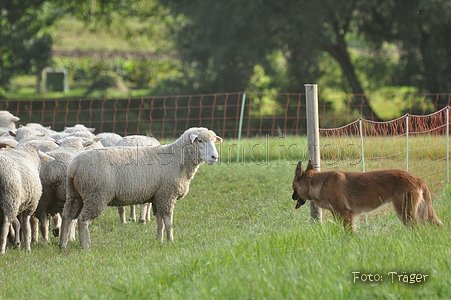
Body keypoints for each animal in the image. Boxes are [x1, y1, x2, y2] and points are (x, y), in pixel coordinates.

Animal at [60, 126, 222, 248]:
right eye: (200, 140)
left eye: (214, 141)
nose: (215, 157)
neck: (178, 159)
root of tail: (74, 166)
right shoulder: (167, 195)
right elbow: (168, 221)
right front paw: (171, 241)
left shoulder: (158, 196)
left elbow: (160, 222)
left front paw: (159, 241)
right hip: (96, 194)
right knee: (82, 220)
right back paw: (85, 245)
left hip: (75, 194)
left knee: (67, 216)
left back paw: (63, 244)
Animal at [292, 161, 444, 231]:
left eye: (293, 186)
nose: (292, 197)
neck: (316, 183)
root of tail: (418, 179)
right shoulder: (339, 215)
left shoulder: (345, 214)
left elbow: (348, 232)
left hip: (404, 212)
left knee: (416, 228)